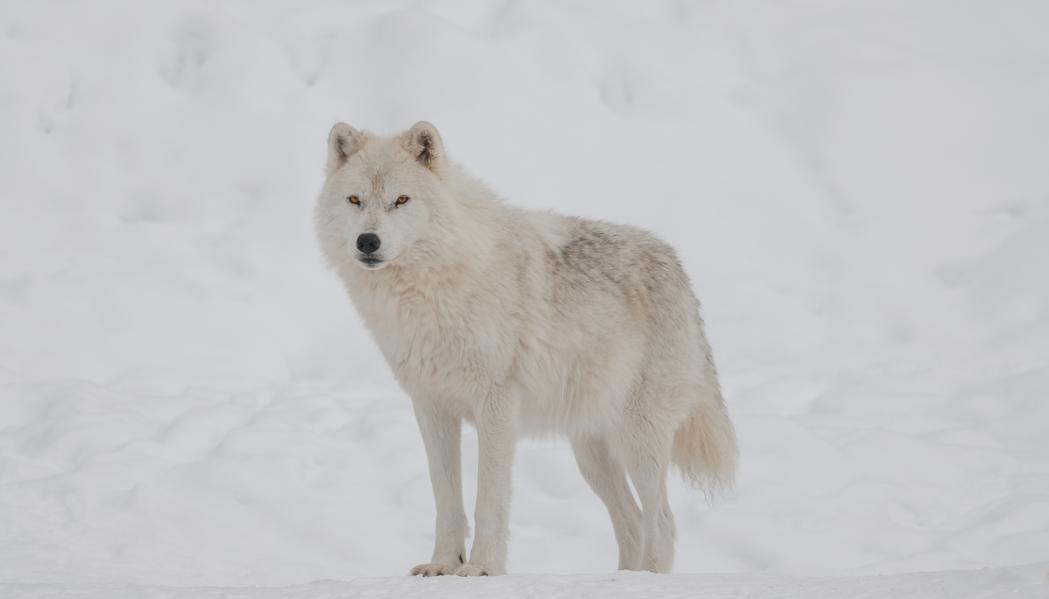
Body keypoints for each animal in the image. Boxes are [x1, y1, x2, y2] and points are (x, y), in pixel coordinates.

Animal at [315, 121, 737, 576]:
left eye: (401, 200)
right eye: (355, 199)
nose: (367, 241)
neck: (432, 290)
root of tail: (675, 264)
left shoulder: (497, 404)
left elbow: (489, 499)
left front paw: (482, 568)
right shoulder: (431, 407)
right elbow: (445, 499)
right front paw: (443, 566)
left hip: (638, 440)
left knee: (661, 520)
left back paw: (647, 579)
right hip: (590, 456)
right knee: (632, 522)